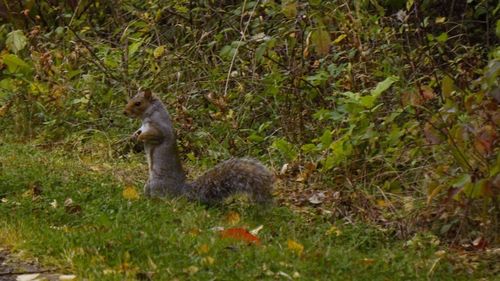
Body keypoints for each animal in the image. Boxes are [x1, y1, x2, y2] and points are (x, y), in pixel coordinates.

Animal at [123, 88, 276, 202]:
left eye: (138, 103)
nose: (124, 112)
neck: (149, 115)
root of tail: (182, 190)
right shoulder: (144, 126)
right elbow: (139, 130)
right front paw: (133, 135)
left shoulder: (160, 129)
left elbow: (155, 136)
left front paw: (140, 137)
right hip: (149, 184)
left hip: (157, 185)